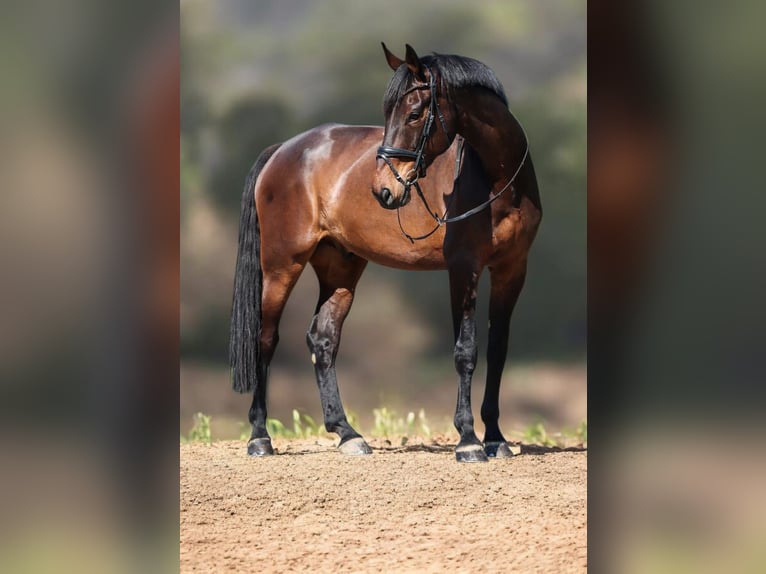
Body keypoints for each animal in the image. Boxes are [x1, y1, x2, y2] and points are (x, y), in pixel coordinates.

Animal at [229, 43, 542, 462]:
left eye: (414, 113)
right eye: (388, 113)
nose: (383, 190)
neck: (498, 181)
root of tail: (283, 150)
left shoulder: (512, 269)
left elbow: (497, 350)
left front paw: (495, 438)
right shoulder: (464, 269)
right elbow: (465, 351)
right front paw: (468, 441)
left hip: (340, 268)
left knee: (323, 340)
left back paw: (348, 434)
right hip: (281, 265)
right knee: (265, 338)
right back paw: (260, 438)